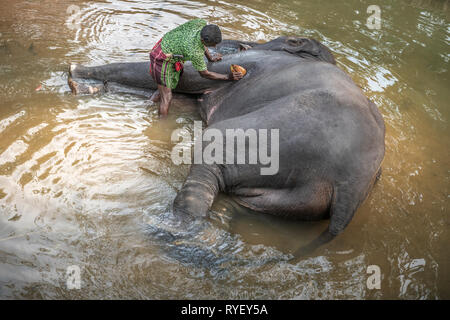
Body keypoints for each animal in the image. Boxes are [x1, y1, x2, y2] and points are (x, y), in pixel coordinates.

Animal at [68, 36, 384, 256]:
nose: (235, 44)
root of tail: (352, 185)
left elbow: (184, 78)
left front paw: (73, 69)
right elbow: (177, 96)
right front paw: (80, 84)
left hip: (267, 137)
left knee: (212, 153)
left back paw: (172, 229)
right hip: (300, 197)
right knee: (244, 200)